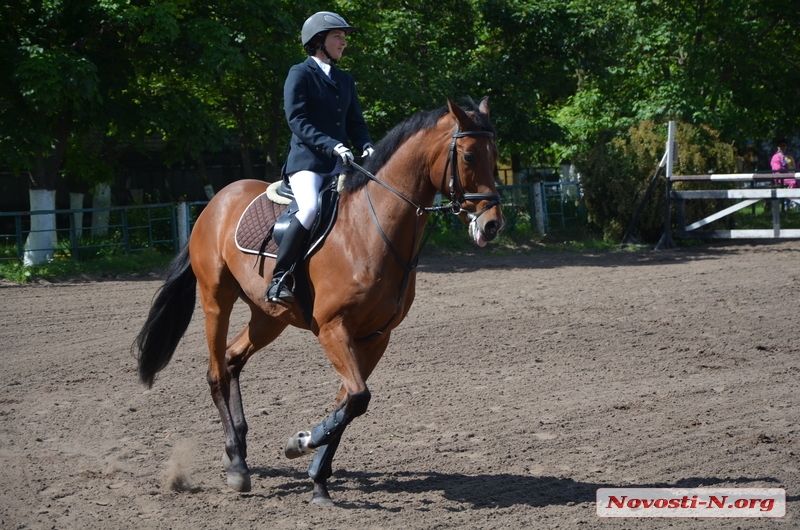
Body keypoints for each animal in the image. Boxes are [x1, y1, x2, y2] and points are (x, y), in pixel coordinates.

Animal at [134, 96, 504, 504]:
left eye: (494, 154)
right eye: (468, 156)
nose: (492, 225)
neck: (371, 229)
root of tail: (217, 200)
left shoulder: (374, 337)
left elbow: (350, 401)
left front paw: (318, 478)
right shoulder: (333, 328)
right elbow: (357, 398)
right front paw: (300, 442)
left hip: (269, 317)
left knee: (232, 360)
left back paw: (238, 453)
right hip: (217, 298)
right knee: (216, 371)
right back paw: (236, 466)